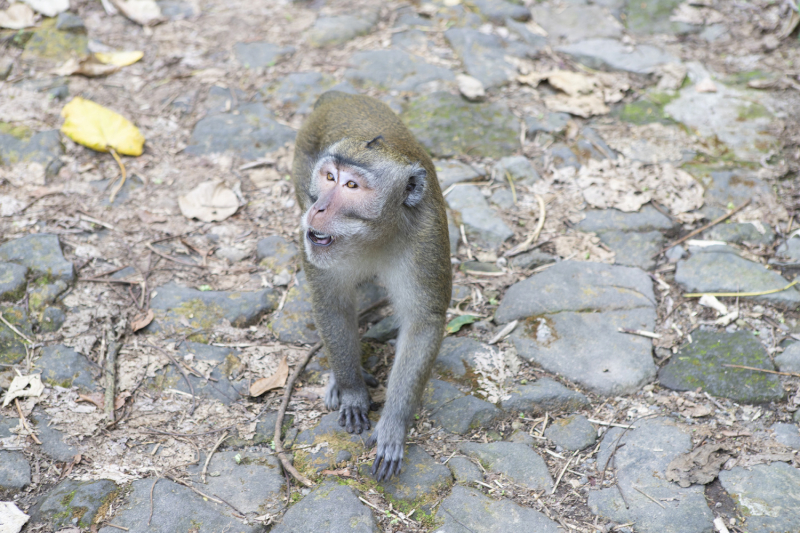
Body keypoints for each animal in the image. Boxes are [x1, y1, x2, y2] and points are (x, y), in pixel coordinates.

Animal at [290, 89, 454, 480]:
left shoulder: (426, 237)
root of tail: (338, 95)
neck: (375, 235)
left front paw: (394, 425)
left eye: (352, 186)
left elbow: (423, 322)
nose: (318, 209)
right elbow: (332, 304)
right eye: (329, 177)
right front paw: (352, 391)